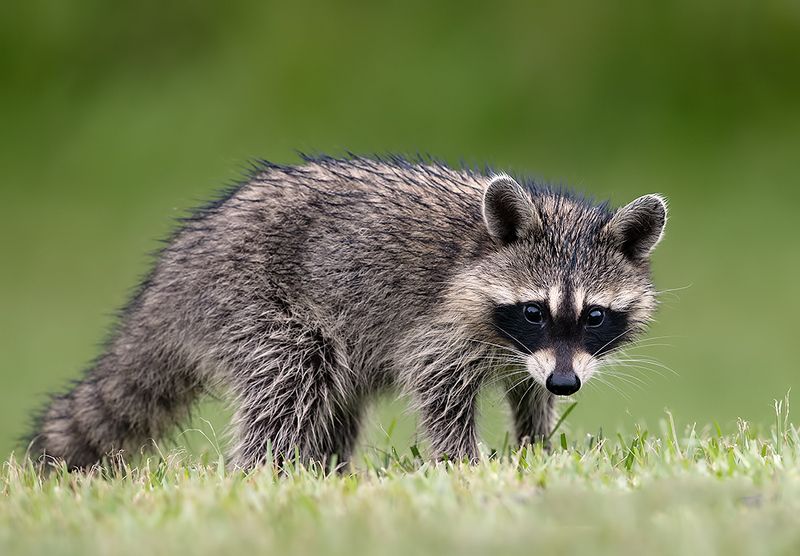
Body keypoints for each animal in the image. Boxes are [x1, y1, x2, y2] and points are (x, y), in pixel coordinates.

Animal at [28, 155, 667, 470]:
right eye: (534, 311)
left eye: (594, 316)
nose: (566, 384)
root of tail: (173, 274)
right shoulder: (441, 325)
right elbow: (438, 387)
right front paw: (462, 463)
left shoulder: (537, 354)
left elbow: (525, 389)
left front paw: (537, 442)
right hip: (250, 299)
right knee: (291, 377)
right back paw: (265, 472)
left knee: (336, 398)